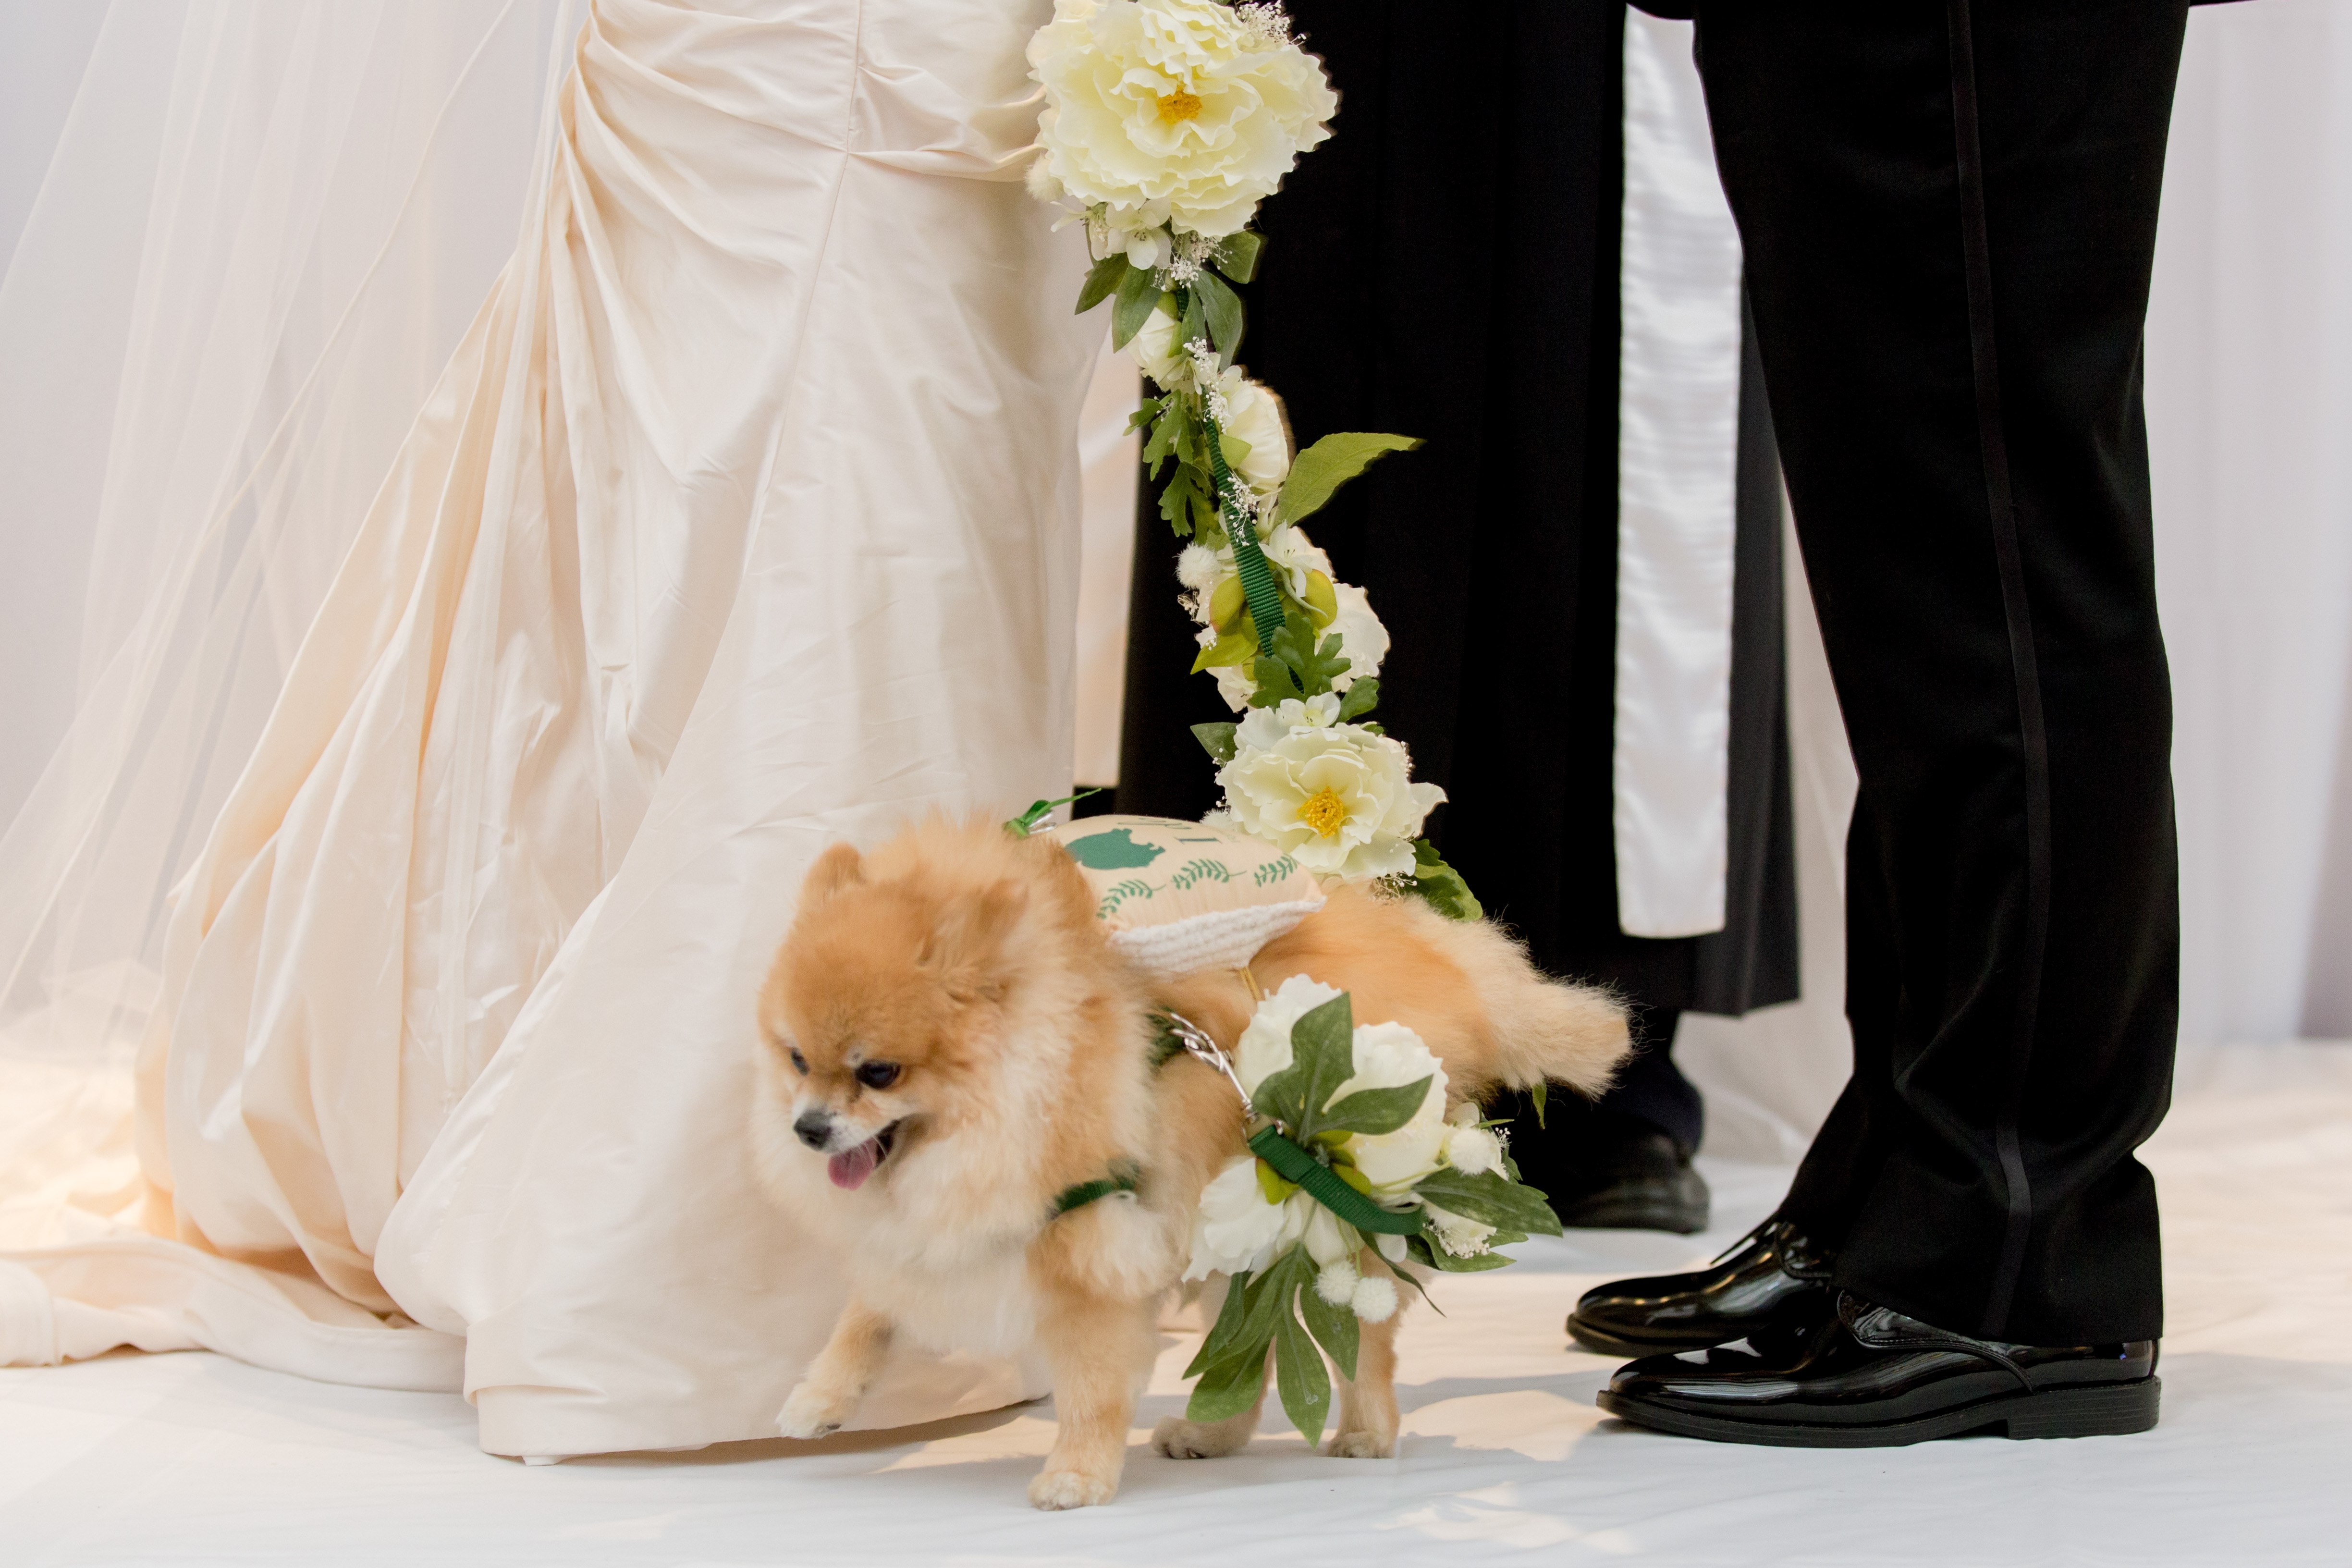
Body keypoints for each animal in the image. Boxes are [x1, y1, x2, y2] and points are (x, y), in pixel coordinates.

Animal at [743, 808, 1628, 1504]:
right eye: (797, 1060)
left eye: (878, 1072)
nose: (809, 1128)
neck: (1017, 1086)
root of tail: (1451, 966)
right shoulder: (945, 1229)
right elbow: (869, 1314)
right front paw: (819, 1400)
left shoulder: (1089, 1251)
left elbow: (1091, 1388)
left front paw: (1077, 1474)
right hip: (1237, 1229)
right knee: (1254, 1346)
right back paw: (1215, 1435)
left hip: (1335, 1227)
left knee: (1363, 1350)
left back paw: (1366, 1433)